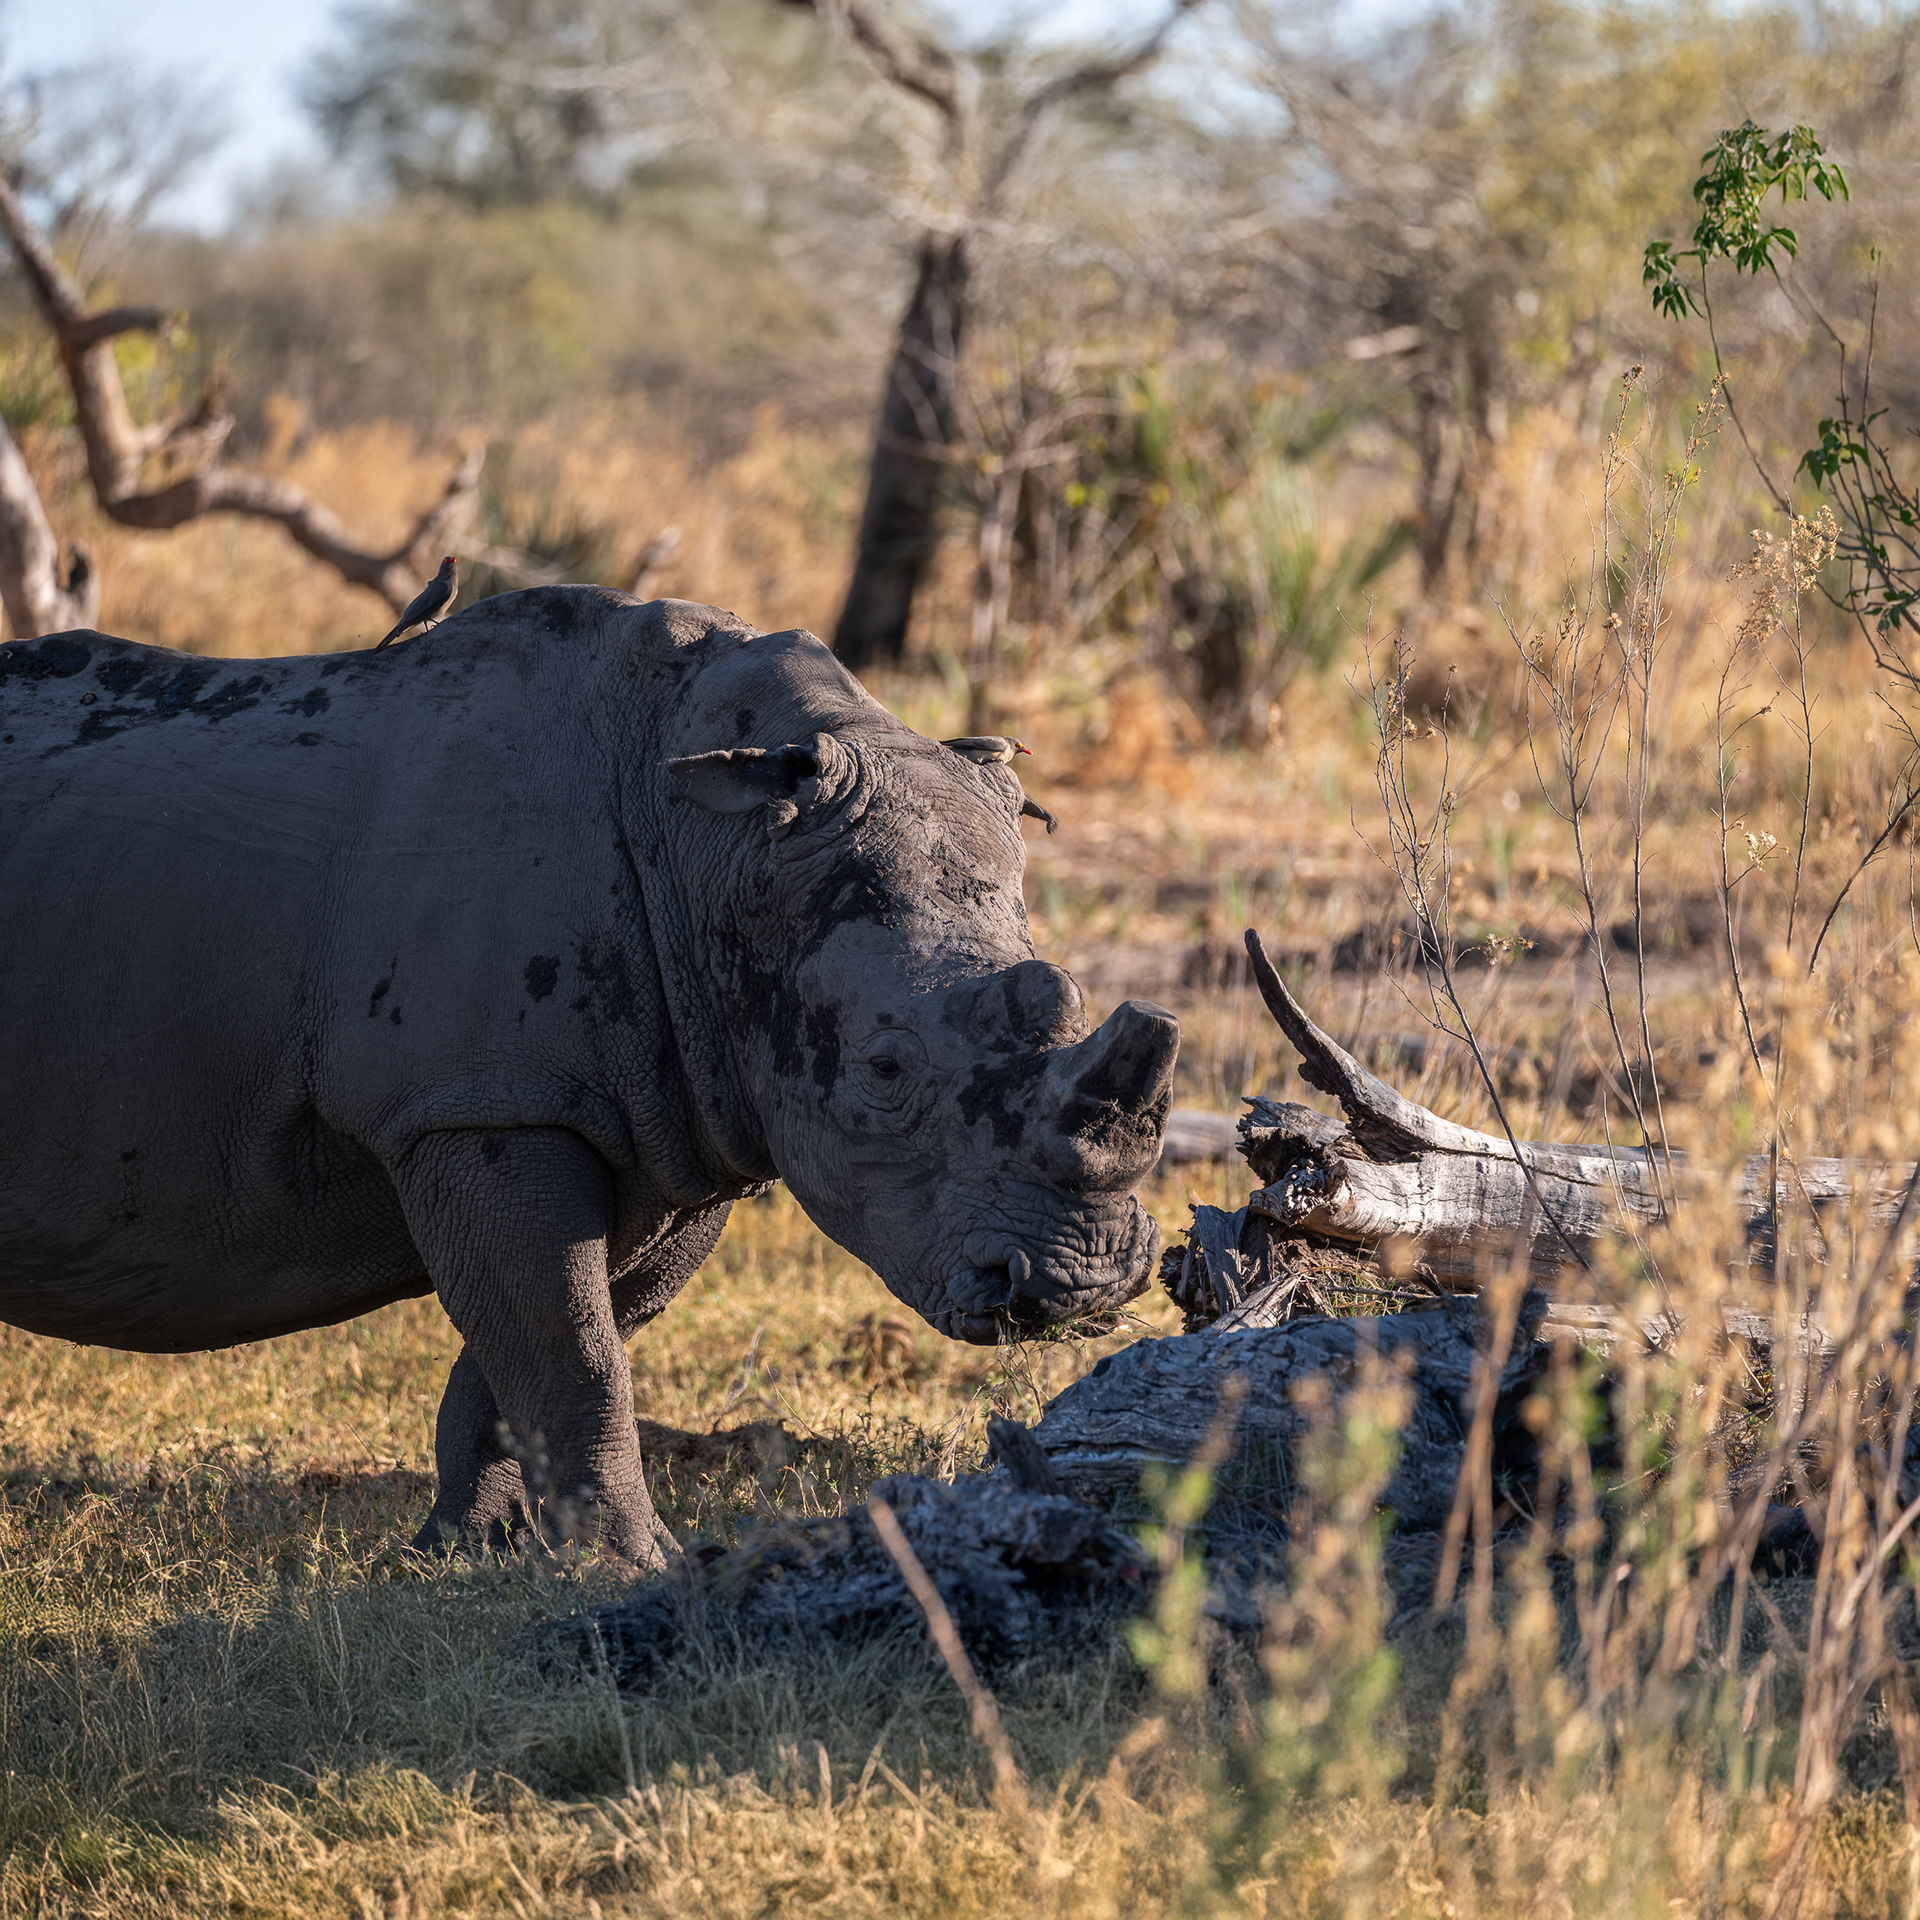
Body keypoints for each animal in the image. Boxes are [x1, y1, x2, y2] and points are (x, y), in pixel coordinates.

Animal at [0, 591, 1176, 1569]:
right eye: (885, 1069)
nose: (1084, 1285)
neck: (710, 844)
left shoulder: (678, 1115)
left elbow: (538, 1347)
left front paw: (469, 1557)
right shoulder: (482, 1103)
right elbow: (573, 1352)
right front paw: (631, 1566)